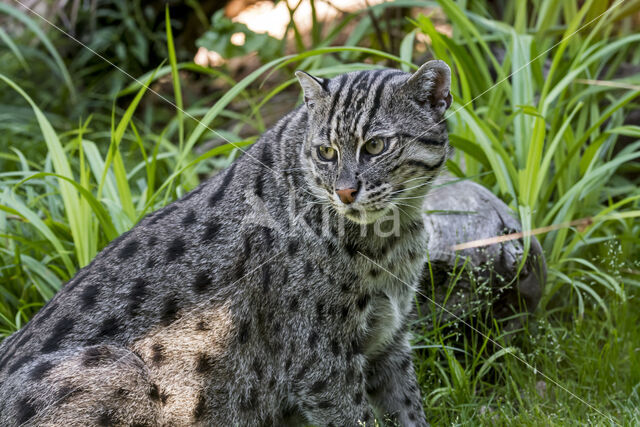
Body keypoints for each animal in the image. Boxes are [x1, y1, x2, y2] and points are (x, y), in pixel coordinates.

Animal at [0, 61, 452, 427]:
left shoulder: (390, 340)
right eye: (326, 152)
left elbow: (410, 411)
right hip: (116, 367)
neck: (394, 235)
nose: (344, 192)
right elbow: (357, 417)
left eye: (375, 145)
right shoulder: (321, 363)